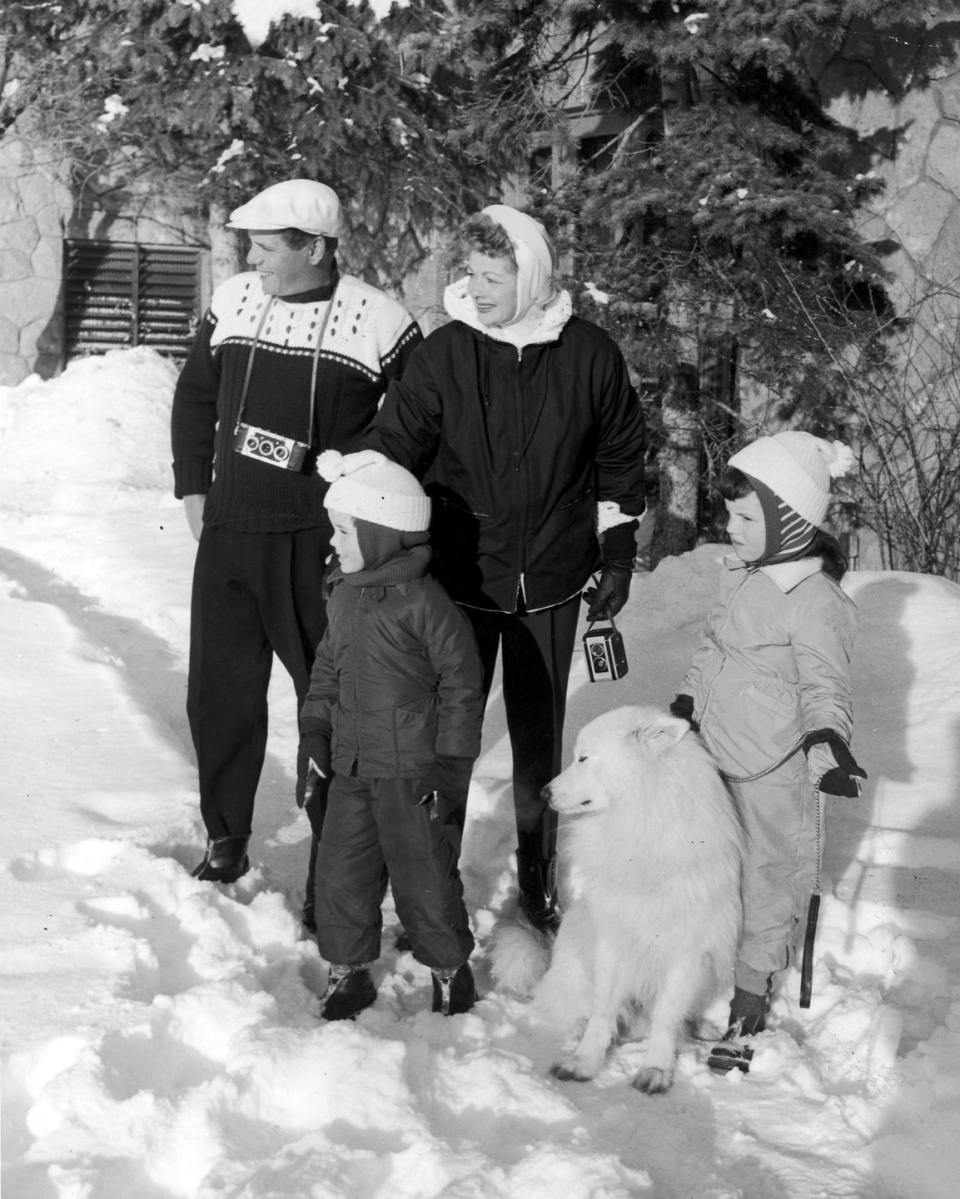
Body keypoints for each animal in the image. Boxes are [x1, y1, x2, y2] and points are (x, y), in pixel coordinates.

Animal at [493, 705, 743, 1093]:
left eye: (583, 758)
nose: (544, 793)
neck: (639, 823)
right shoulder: (614, 938)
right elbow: (603, 1010)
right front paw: (584, 1062)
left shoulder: (685, 953)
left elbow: (666, 1017)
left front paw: (655, 1069)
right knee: (573, 1006)